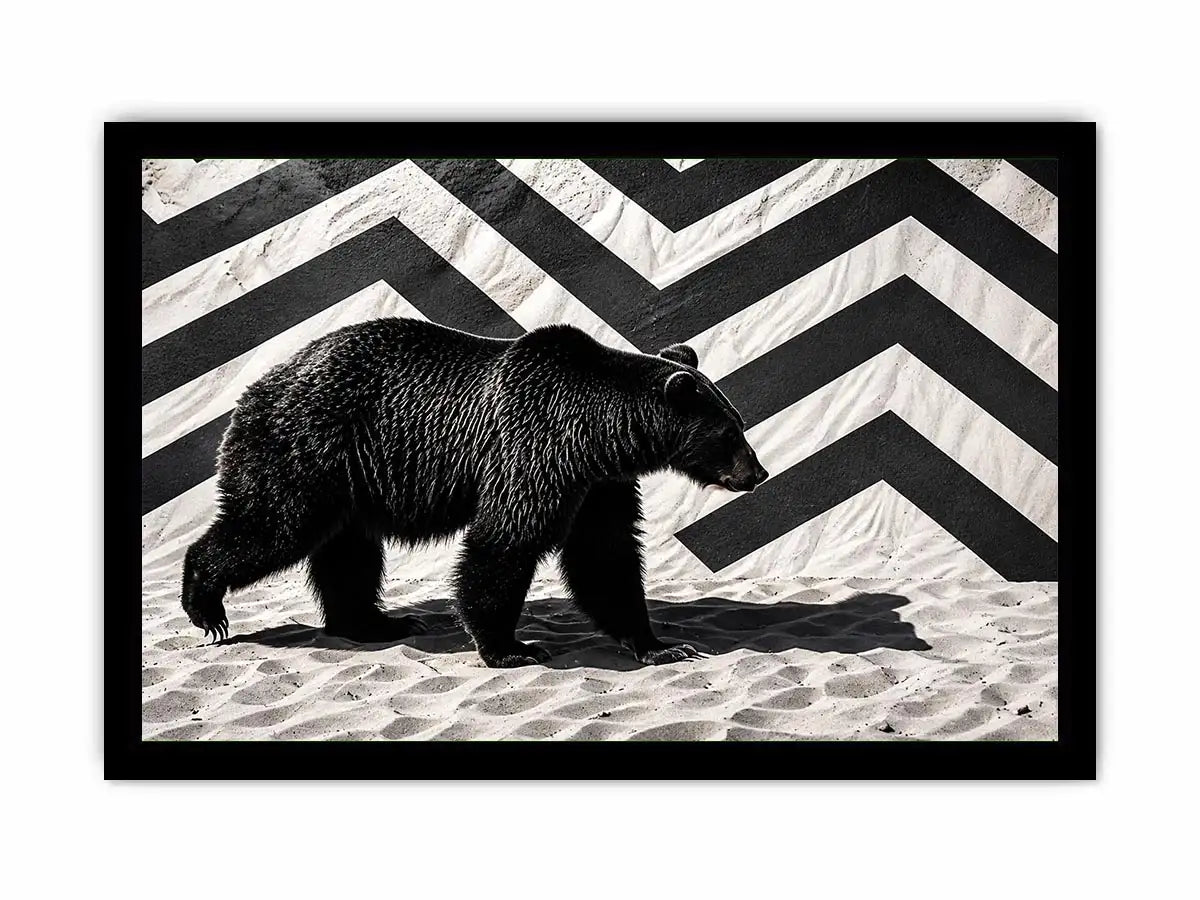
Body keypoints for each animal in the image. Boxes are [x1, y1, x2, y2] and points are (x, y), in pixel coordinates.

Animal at [181, 318, 768, 668]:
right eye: (730, 432)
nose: (757, 473)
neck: (599, 434)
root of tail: (256, 387)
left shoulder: (599, 485)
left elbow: (606, 556)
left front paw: (664, 644)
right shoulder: (534, 448)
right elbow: (506, 541)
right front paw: (510, 647)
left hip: (351, 482)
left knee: (348, 554)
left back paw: (376, 622)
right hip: (307, 448)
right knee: (273, 526)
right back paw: (206, 606)